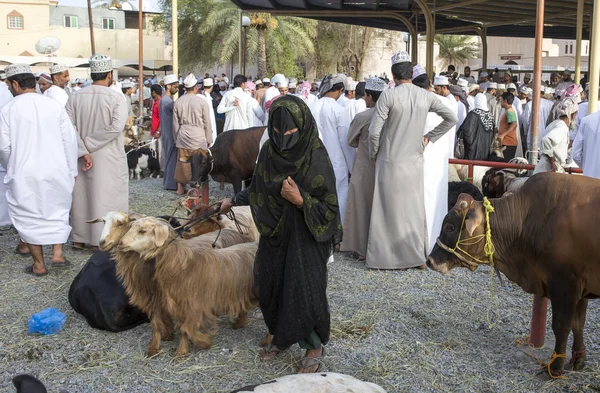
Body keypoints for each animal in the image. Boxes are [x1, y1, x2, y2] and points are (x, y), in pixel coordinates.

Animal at [89, 211, 255, 356]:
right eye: (103, 221)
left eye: (121, 223)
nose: (102, 243)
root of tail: (237, 232)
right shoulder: (157, 299)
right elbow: (158, 323)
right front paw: (159, 343)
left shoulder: (179, 299)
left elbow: (184, 326)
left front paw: (193, 345)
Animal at [426, 173, 600, 376]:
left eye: (450, 227)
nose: (430, 261)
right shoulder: (581, 289)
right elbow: (578, 323)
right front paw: (578, 359)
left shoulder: (564, 285)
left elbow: (562, 326)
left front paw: (556, 367)